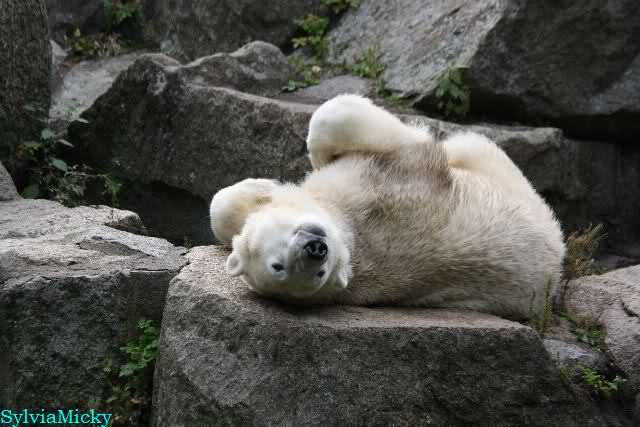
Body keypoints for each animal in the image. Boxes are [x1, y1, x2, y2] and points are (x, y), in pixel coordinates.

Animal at [210, 94, 565, 319]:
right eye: (278, 267)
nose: (315, 249)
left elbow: (222, 207)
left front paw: (260, 187)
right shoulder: (384, 183)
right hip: (512, 182)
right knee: (472, 143)